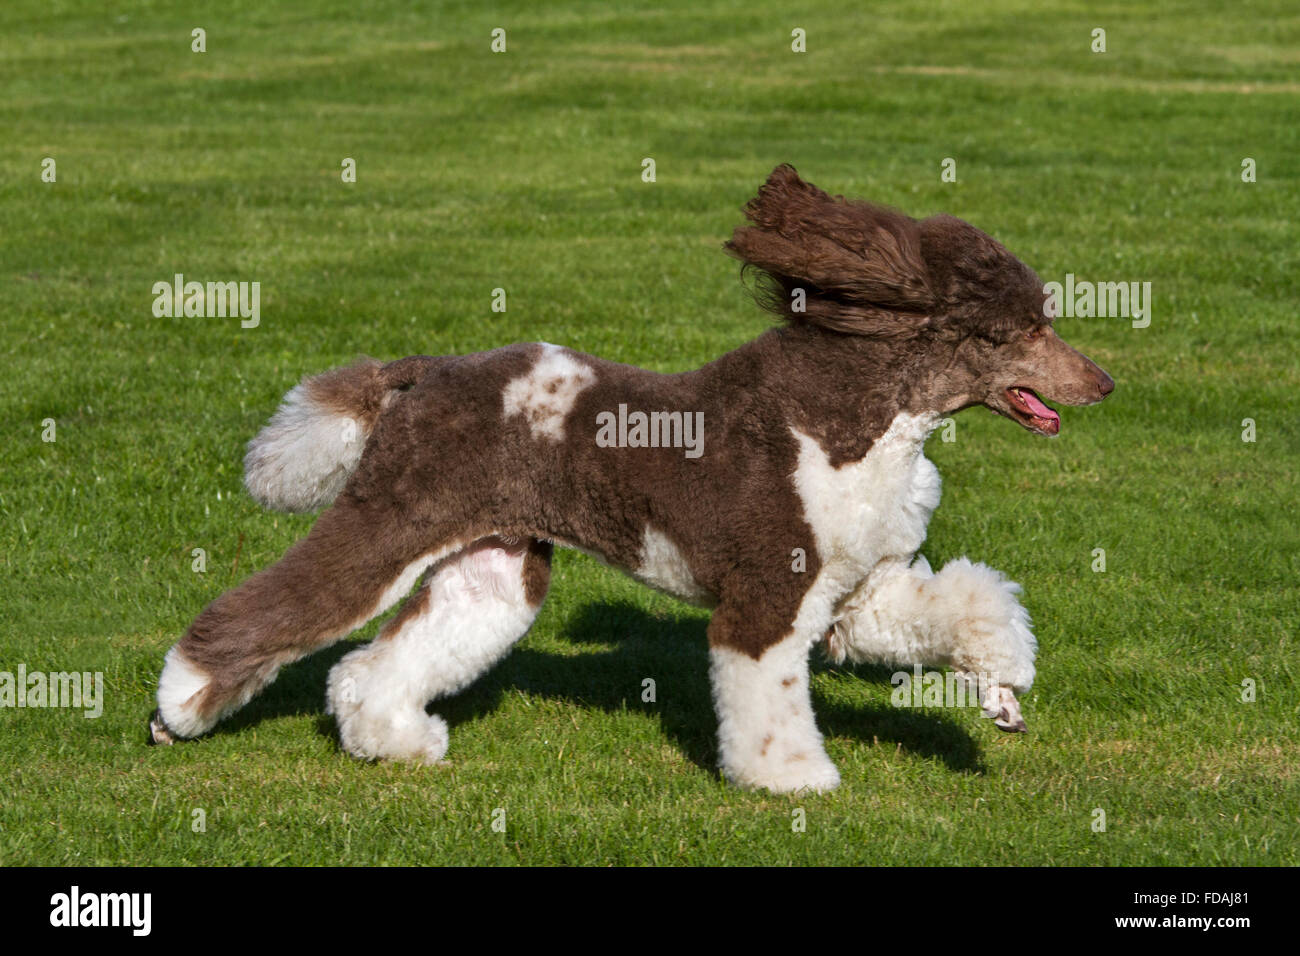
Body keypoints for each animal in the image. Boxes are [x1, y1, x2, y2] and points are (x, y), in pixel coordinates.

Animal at [147, 167, 1112, 796]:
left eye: (1043, 321)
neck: (851, 417)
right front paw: (793, 781)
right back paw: (176, 711)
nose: (1101, 382)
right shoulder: (766, 599)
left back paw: (389, 738)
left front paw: (1001, 685)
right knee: (268, 613)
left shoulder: (853, 590)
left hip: (496, 565)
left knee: (380, 661)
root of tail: (422, 374)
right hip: (390, 519)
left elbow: (960, 609)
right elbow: (770, 699)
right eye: (1016, 331)